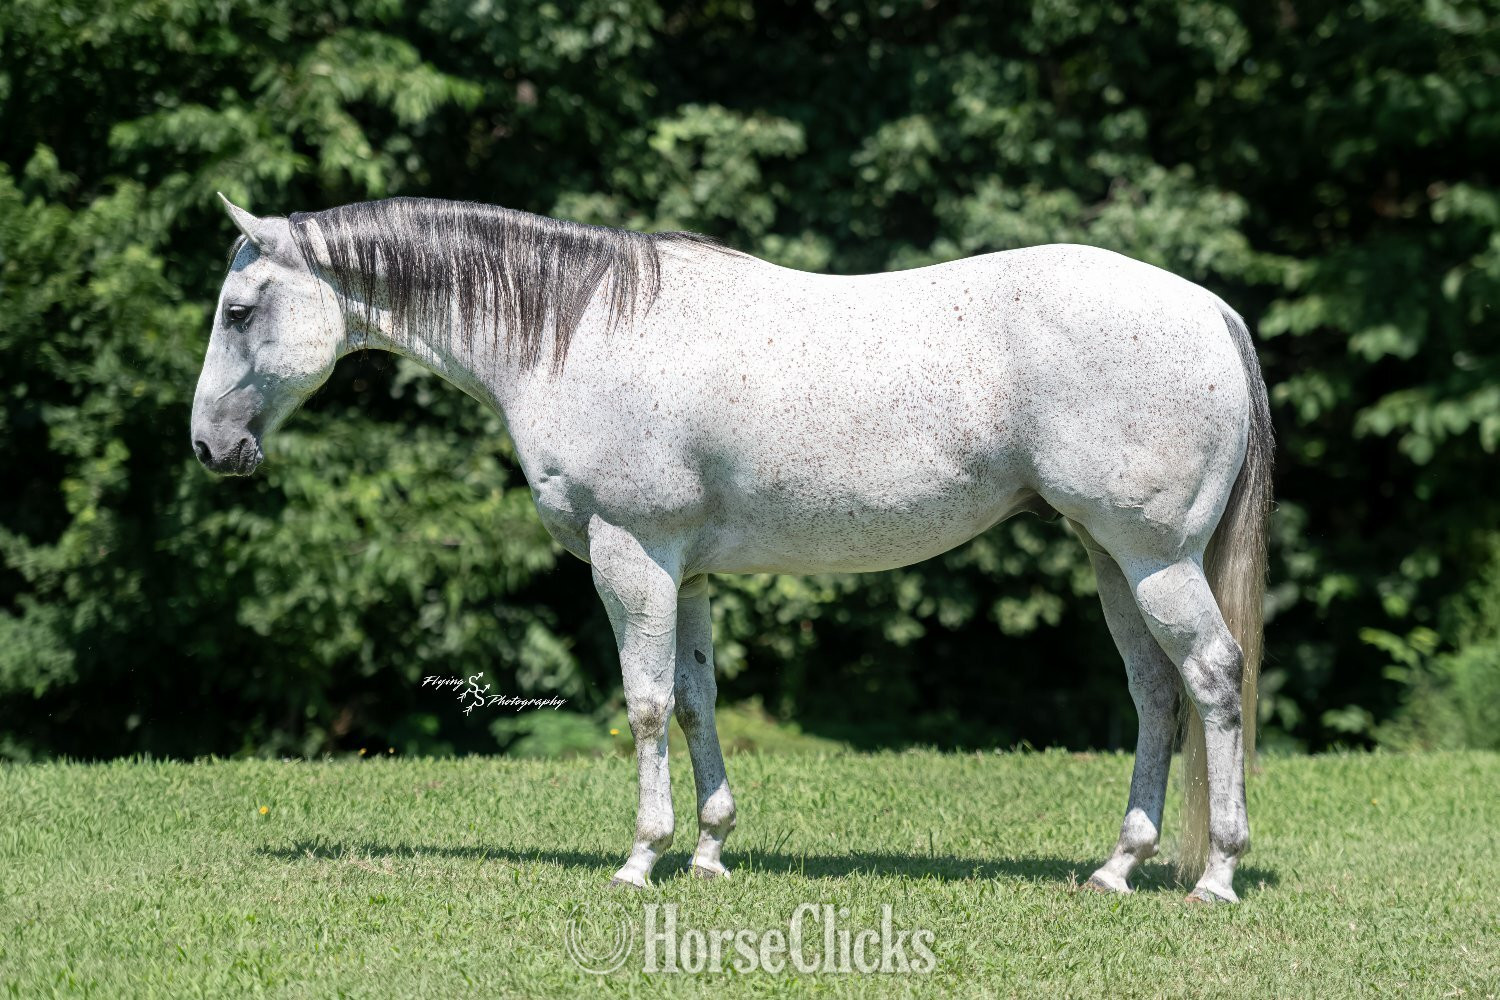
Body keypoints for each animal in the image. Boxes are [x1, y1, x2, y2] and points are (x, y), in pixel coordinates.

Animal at [192, 194, 1272, 903]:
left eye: (240, 312)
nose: (209, 447)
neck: (582, 331)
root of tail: (1210, 310)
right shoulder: (691, 571)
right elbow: (697, 699)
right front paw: (710, 852)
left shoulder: (631, 555)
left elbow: (643, 703)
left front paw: (641, 858)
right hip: (1111, 560)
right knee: (1155, 693)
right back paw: (1118, 867)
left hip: (1154, 560)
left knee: (1215, 677)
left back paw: (1216, 873)